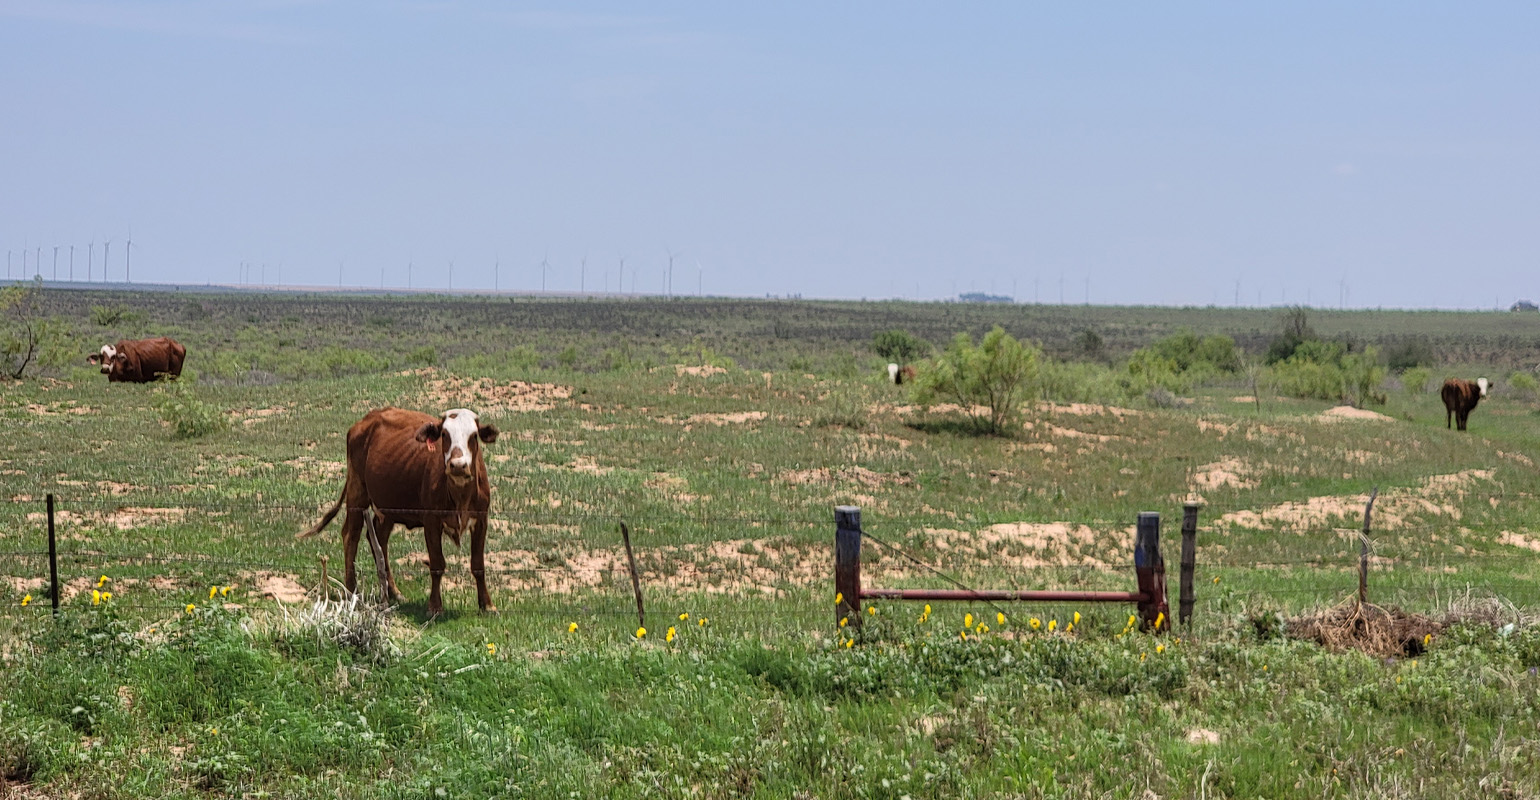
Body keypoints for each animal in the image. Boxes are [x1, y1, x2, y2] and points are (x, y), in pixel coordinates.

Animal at [306, 403, 505, 616]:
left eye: (474, 435)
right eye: (444, 434)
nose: (458, 465)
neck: (460, 496)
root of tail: (368, 419)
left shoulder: (481, 520)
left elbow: (478, 565)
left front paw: (487, 605)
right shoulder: (431, 521)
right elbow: (437, 564)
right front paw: (435, 606)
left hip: (388, 505)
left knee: (379, 538)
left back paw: (393, 592)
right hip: (357, 491)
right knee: (351, 536)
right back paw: (352, 591)